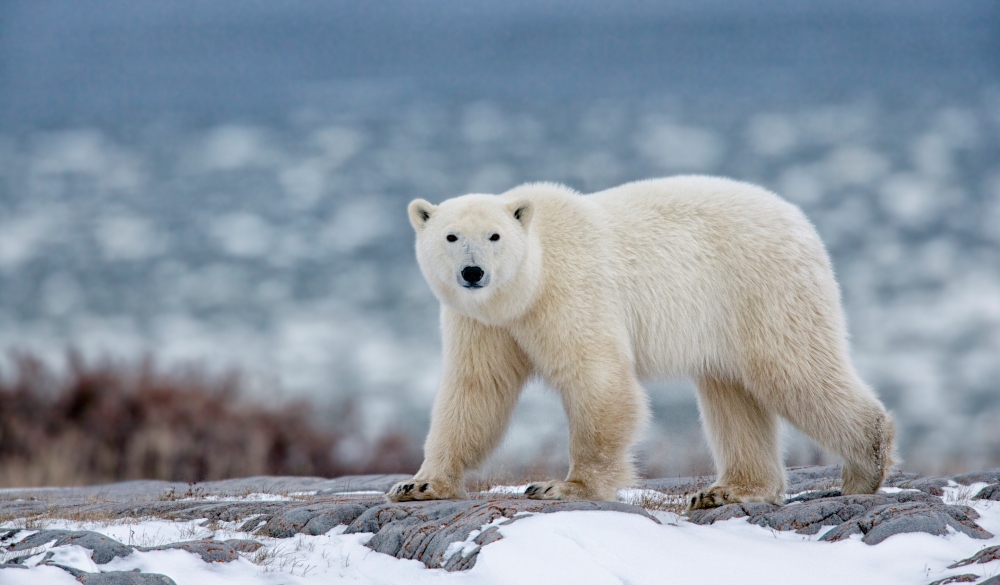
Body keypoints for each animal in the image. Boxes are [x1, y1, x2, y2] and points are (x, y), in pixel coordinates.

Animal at [388, 175, 900, 506]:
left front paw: (562, 486)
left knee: (794, 371)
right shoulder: (483, 323)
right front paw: (419, 485)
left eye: (494, 236)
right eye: (451, 236)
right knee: (732, 394)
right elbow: (476, 390)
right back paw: (727, 490)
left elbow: (596, 379)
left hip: (763, 289)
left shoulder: (572, 292)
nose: (473, 273)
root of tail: (800, 221)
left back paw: (865, 467)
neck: (529, 282)